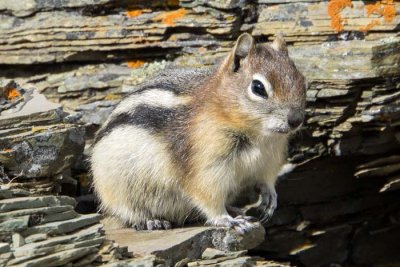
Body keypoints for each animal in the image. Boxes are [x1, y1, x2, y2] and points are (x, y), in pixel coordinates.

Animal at [91, 33, 306, 233]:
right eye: (258, 88)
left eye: (301, 79)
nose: (296, 120)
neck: (258, 136)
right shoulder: (204, 167)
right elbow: (208, 196)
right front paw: (226, 220)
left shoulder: (269, 159)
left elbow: (267, 179)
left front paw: (270, 196)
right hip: (117, 188)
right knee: (126, 211)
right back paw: (151, 220)